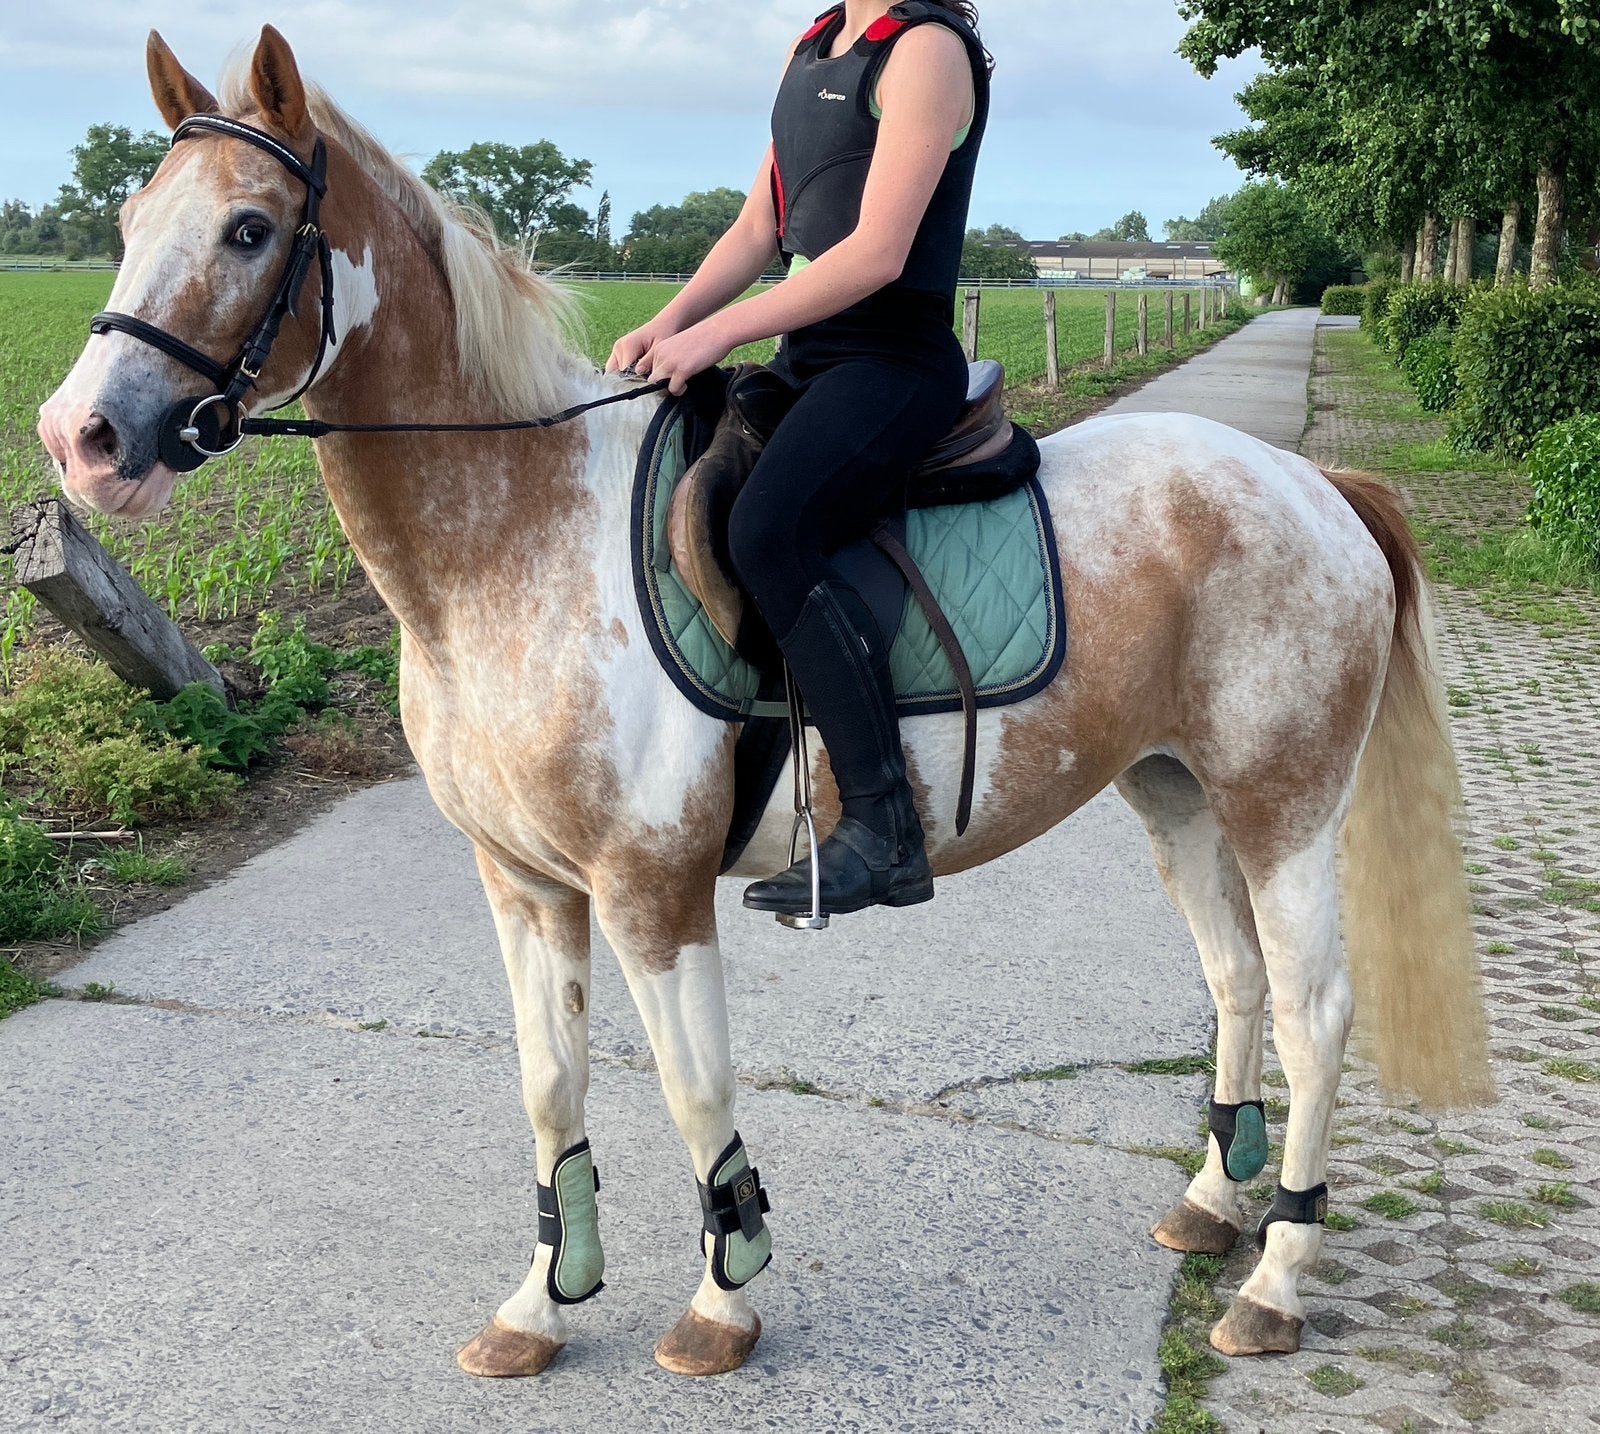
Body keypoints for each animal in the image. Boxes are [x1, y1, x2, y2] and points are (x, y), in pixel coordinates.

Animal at [38, 25, 1492, 1380]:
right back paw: (1213, 1204)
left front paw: (721, 1299)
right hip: (1174, 791)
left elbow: (694, 1085)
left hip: (1281, 804)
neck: (519, 539)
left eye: (248, 228)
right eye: (126, 222)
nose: (80, 439)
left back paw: (1276, 1278)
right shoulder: (524, 883)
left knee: (1314, 1008)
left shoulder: (651, 887)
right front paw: (539, 1306)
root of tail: (1319, 485)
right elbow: (549, 1085)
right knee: (1236, 979)